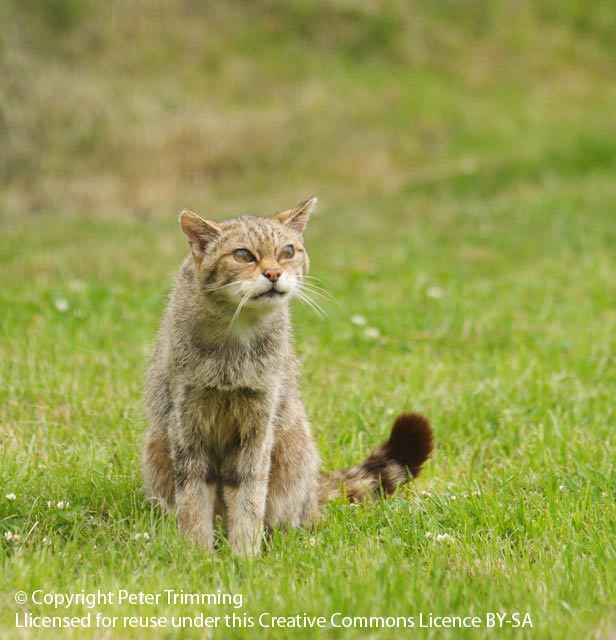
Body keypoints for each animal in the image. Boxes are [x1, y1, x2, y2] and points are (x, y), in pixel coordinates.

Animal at [143, 199, 436, 556]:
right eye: (243, 255)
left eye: (287, 251)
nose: (273, 273)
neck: (235, 339)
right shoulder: (188, 424)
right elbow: (193, 502)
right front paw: (199, 555)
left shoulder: (258, 427)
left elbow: (249, 497)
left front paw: (245, 556)